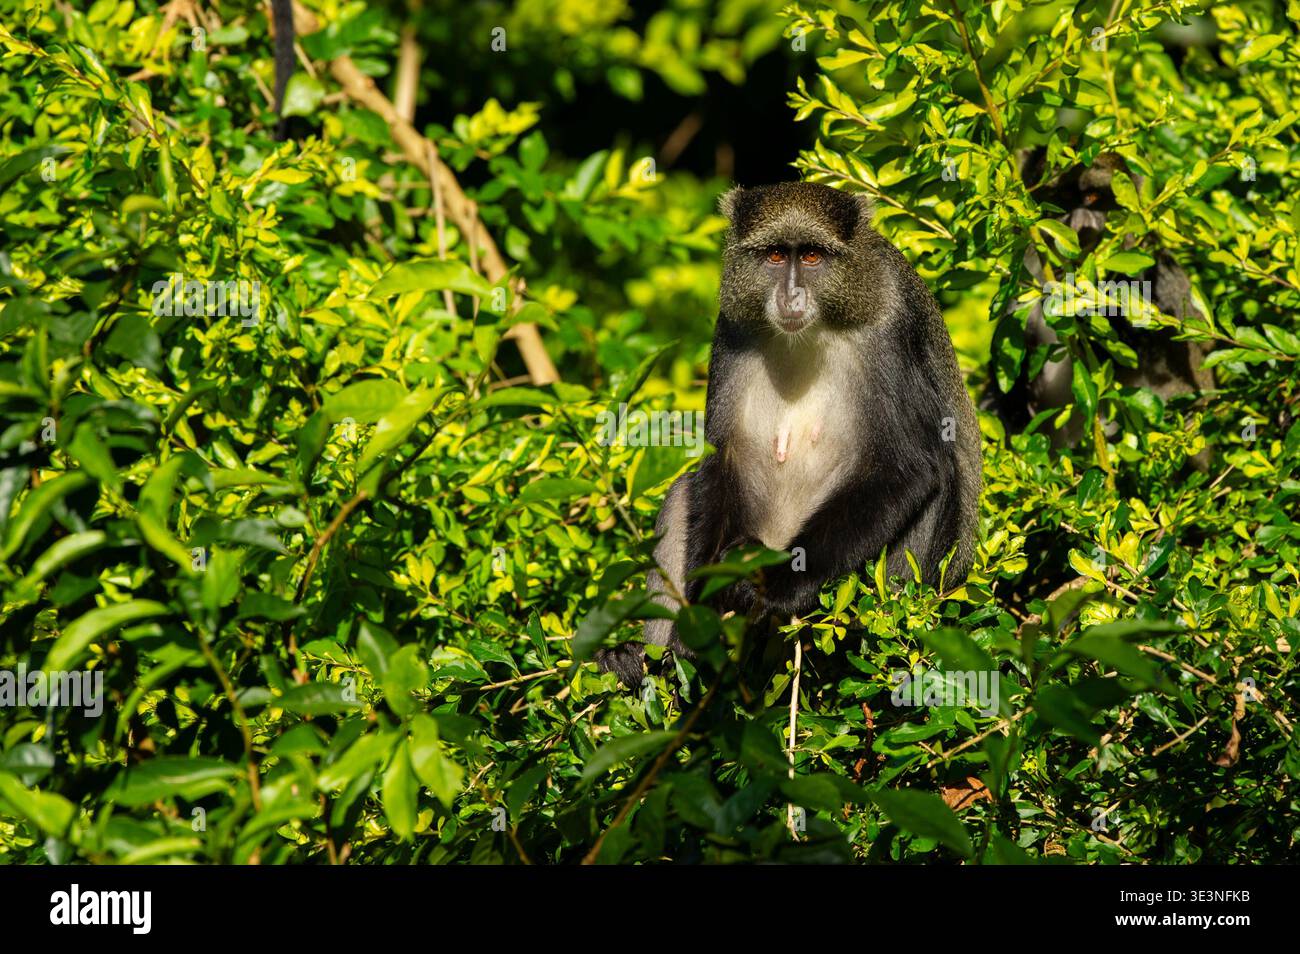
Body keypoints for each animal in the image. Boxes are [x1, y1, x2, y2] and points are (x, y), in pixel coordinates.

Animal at [597, 182, 983, 687]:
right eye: (777, 255)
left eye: (813, 256)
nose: (792, 295)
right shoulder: (732, 324)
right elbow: (720, 462)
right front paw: (701, 616)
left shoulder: (890, 324)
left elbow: (909, 467)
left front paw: (779, 588)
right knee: (684, 491)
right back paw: (640, 661)